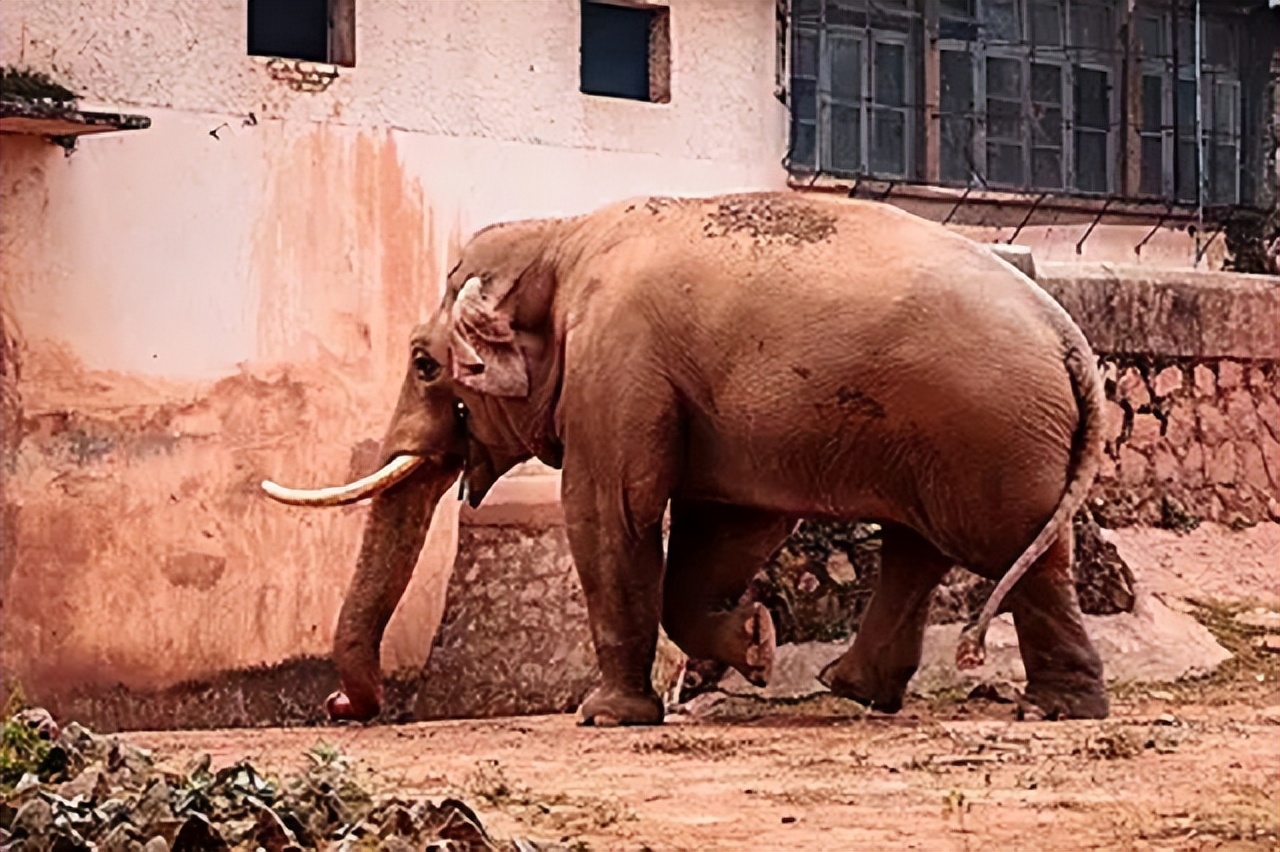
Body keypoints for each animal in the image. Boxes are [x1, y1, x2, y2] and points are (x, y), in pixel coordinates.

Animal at [262, 190, 1111, 721]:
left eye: (422, 363)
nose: (339, 709)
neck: (562, 238)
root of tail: (1068, 335)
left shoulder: (617, 361)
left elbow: (610, 511)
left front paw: (605, 717)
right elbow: (725, 528)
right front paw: (757, 646)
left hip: (988, 433)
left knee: (1014, 549)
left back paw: (1050, 707)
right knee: (924, 549)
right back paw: (855, 689)